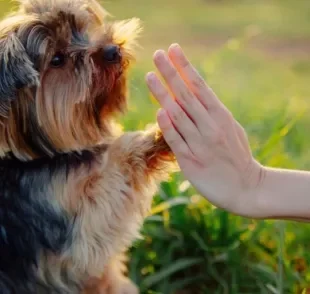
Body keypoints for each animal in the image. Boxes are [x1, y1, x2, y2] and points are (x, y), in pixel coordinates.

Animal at [0, 1, 176, 292]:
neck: (41, 155)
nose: (112, 50)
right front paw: (161, 133)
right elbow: (109, 182)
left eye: (81, 30)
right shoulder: (76, 226)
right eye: (57, 59)